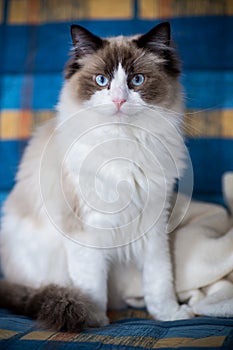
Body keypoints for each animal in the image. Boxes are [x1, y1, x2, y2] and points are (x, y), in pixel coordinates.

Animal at [0, 21, 193, 330]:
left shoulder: (153, 223)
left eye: (137, 80)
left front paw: (170, 315)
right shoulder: (86, 230)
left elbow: (160, 281)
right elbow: (92, 287)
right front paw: (93, 319)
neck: (124, 145)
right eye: (102, 81)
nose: (118, 100)